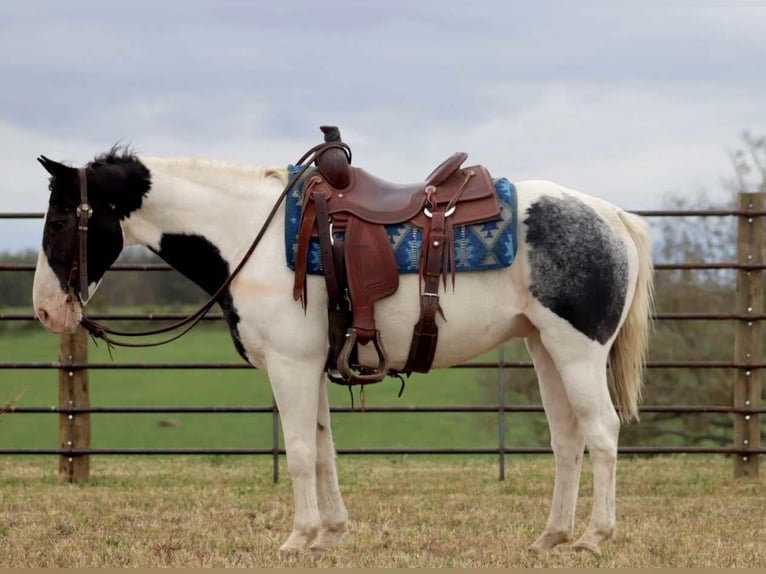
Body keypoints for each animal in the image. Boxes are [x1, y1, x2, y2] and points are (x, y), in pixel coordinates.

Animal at [31, 143, 653, 555]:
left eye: (60, 219)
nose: (45, 311)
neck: (249, 235)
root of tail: (611, 216)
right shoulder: (312, 368)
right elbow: (324, 450)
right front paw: (329, 534)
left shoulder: (290, 366)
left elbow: (301, 452)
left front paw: (297, 538)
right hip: (544, 347)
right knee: (567, 440)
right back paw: (551, 536)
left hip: (577, 351)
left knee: (602, 433)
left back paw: (594, 539)